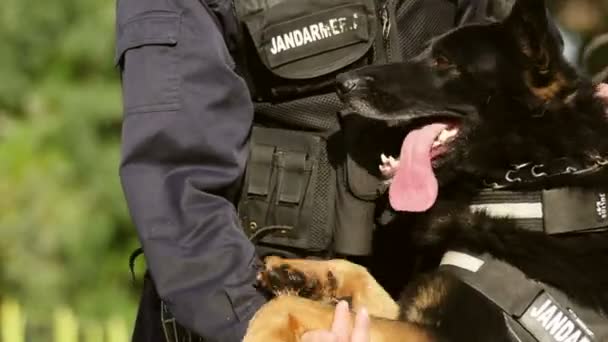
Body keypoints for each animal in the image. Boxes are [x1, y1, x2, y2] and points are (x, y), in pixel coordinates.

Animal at [242, 1, 608, 340]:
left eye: (443, 62)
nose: (341, 83)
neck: (530, 171)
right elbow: (356, 274)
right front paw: (300, 274)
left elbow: (284, 306)